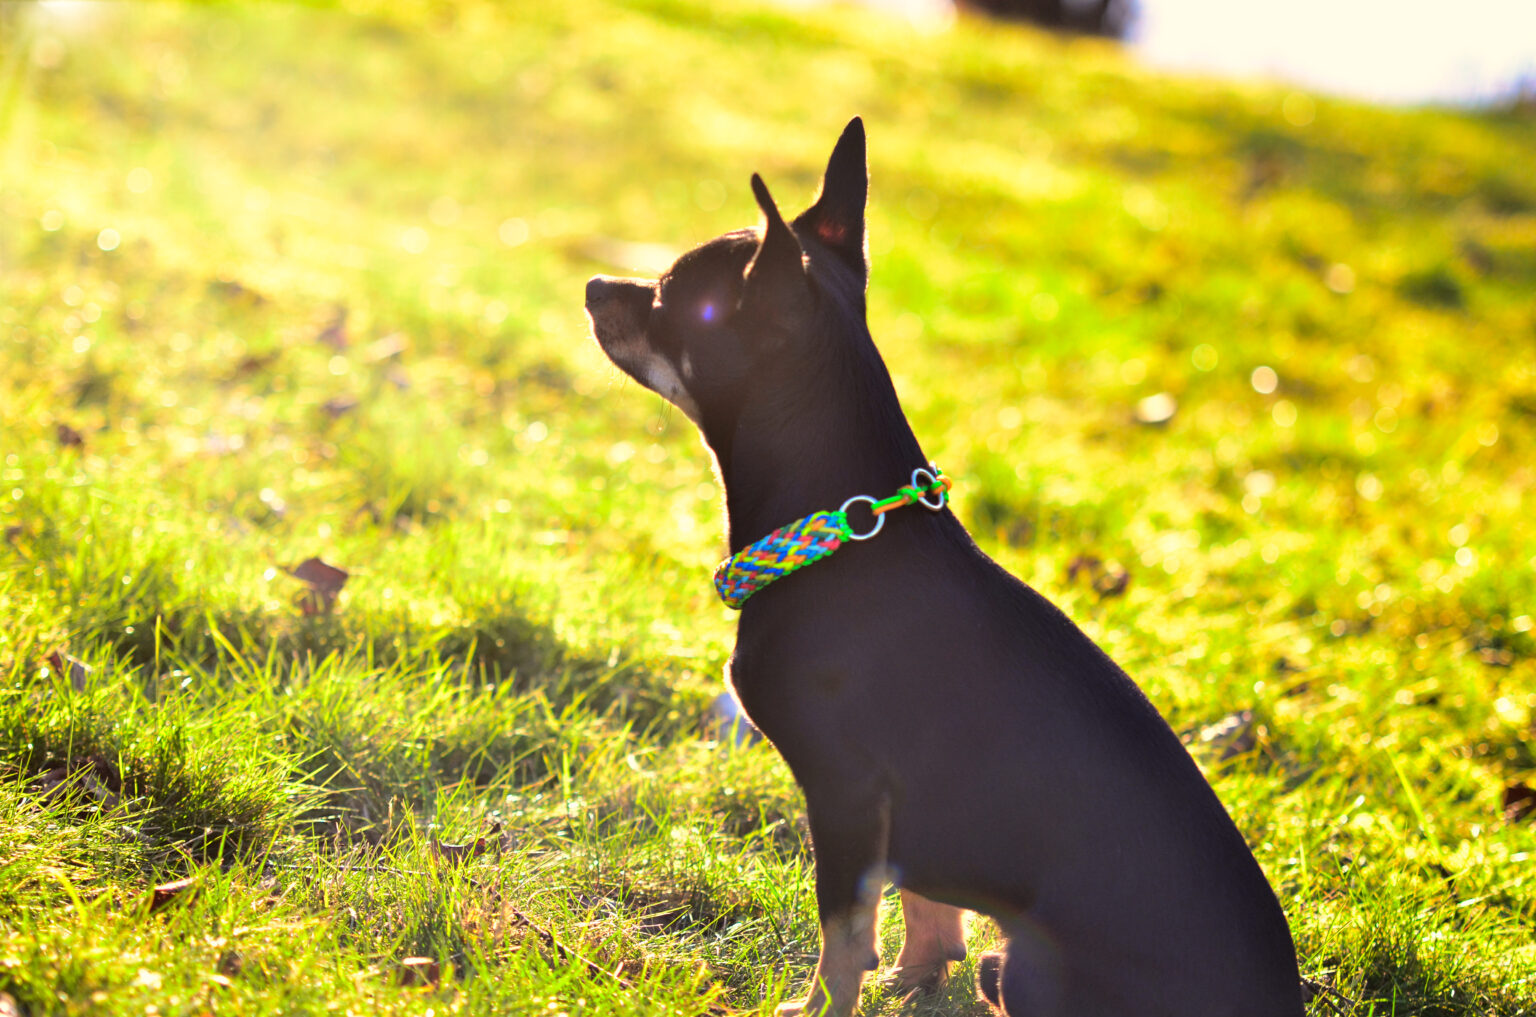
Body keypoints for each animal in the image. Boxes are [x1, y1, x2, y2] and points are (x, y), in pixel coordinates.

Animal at [580, 121, 1302, 1017]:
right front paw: (912, 979)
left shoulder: (847, 793)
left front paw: (821, 1007)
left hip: (1028, 962)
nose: (595, 282)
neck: (836, 538)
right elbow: (920, 901)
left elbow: (843, 930)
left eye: (669, 294)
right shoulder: (904, 809)